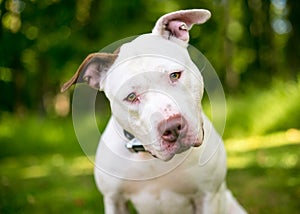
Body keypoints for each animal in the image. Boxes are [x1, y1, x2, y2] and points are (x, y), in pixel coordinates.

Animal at [61, 9, 246, 213]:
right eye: (131, 96)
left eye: (175, 75)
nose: (172, 127)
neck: (152, 159)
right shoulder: (114, 200)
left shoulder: (208, 196)